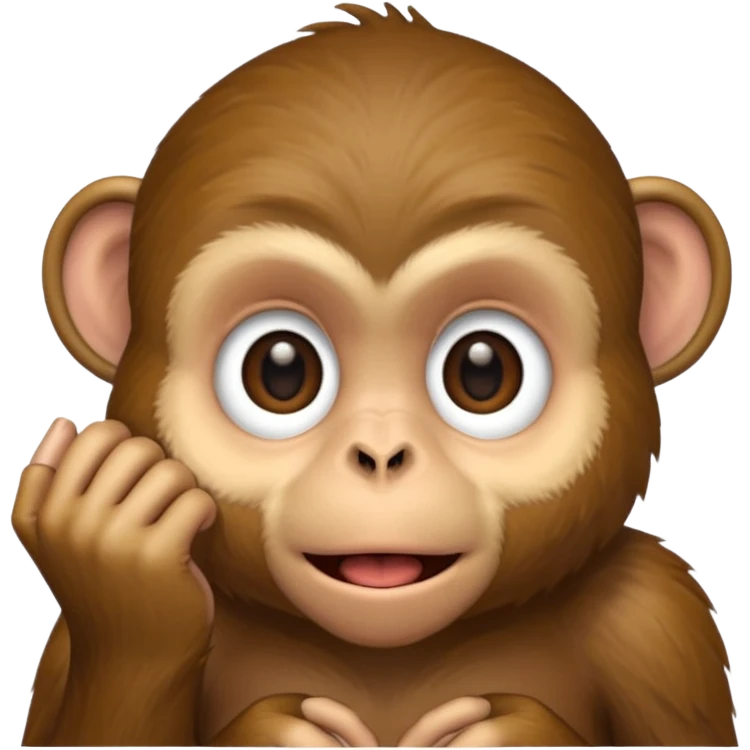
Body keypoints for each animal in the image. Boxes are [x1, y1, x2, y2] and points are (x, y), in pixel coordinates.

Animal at [12, 2, 738, 747]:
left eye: (483, 371)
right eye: (281, 370)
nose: (382, 454)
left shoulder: (654, 622)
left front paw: (507, 733)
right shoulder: (69, 647)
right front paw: (121, 557)